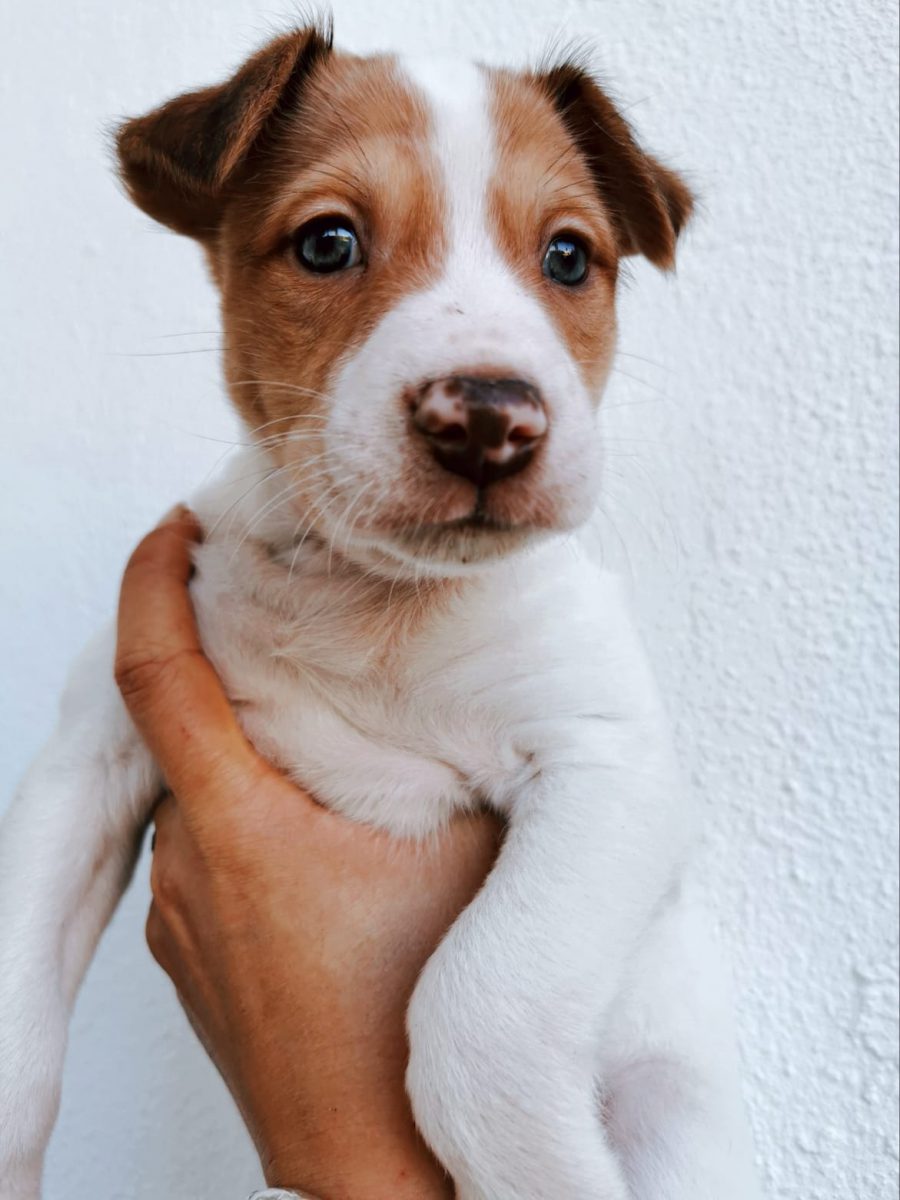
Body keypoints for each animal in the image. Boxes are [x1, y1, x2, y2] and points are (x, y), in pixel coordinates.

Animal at [0, 20, 761, 1199]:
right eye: (327, 244)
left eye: (569, 258)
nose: (489, 417)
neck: (375, 601)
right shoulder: (87, 755)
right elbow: (18, 1021)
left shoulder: (608, 765)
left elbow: (475, 1006)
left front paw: (547, 1169)